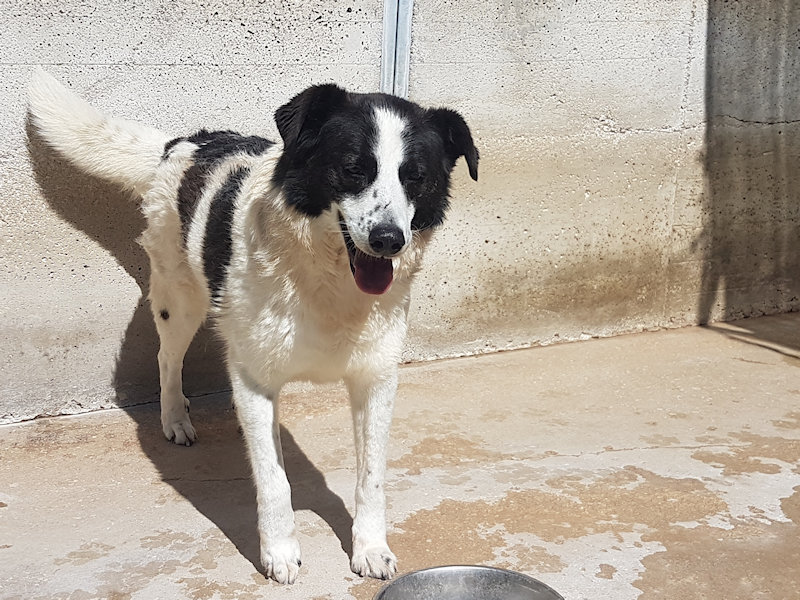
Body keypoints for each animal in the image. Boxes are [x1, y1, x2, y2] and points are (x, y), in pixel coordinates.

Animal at [27, 69, 478, 584]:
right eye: (352, 169)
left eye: (416, 177)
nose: (389, 240)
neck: (326, 278)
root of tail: (187, 141)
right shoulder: (256, 380)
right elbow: (274, 479)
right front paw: (280, 551)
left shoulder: (375, 380)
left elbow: (372, 477)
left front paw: (370, 547)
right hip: (180, 302)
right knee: (167, 357)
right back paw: (174, 417)